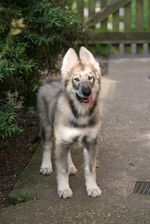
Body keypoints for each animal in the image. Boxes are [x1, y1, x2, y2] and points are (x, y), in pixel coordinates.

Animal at [37, 46, 102, 198]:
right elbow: (62, 170)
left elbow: (90, 169)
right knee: (47, 146)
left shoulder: (91, 142)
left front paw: (92, 187)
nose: (87, 92)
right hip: (47, 126)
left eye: (90, 77)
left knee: (68, 153)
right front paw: (64, 189)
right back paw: (46, 166)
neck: (80, 113)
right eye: (76, 79)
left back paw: (71, 166)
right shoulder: (62, 141)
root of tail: (50, 80)